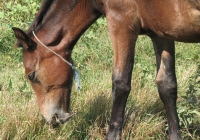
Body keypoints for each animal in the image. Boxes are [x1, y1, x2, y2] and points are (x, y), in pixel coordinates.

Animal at [11, 0, 200, 139]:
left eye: (31, 76)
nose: (51, 119)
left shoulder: (121, 23)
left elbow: (120, 84)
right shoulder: (162, 32)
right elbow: (167, 86)